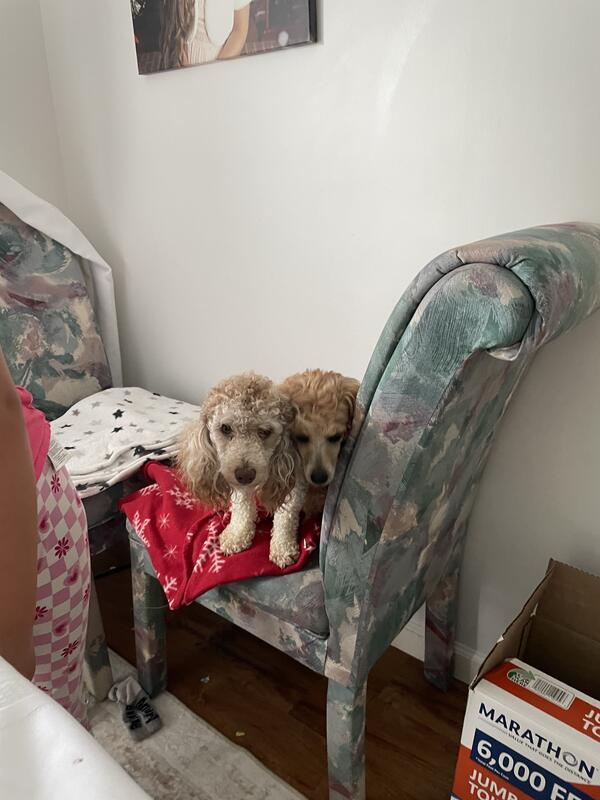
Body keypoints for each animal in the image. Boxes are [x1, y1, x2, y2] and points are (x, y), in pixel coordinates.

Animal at [177, 373, 304, 568]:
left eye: (265, 431)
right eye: (225, 428)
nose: (245, 475)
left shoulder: (294, 483)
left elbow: (286, 516)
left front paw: (282, 548)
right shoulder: (240, 487)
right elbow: (242, 508)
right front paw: (238, 535)